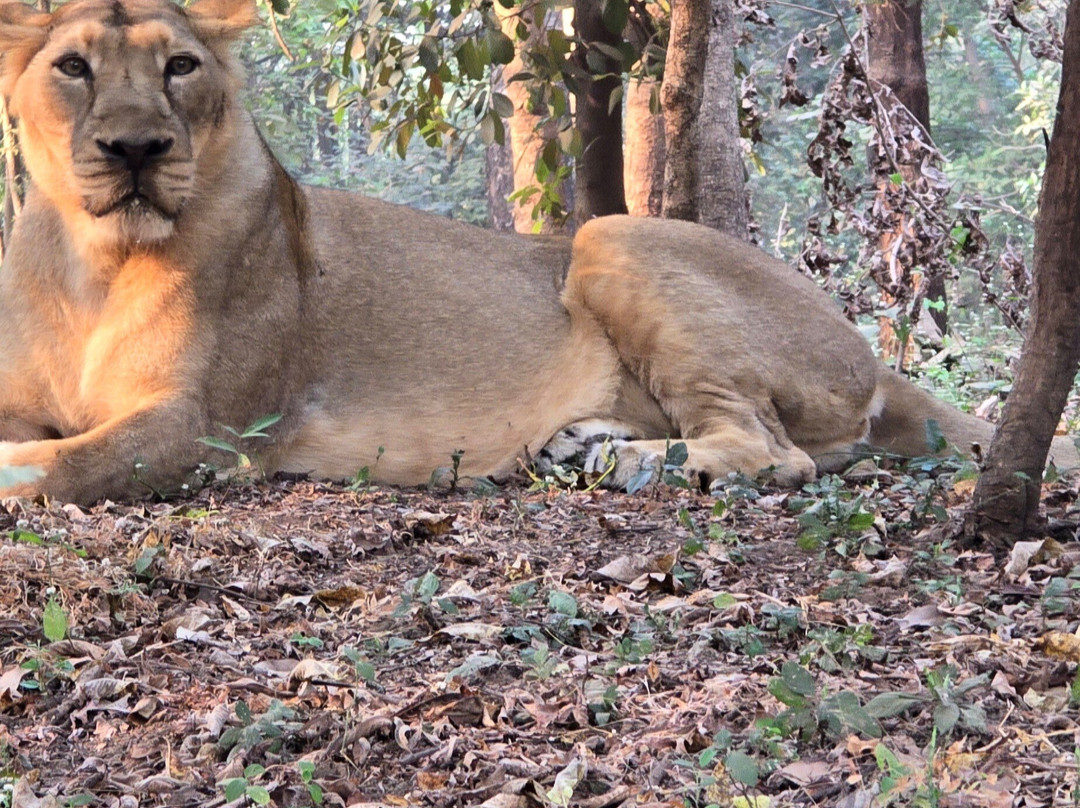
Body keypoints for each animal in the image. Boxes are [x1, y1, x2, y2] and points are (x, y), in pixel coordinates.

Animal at [0, 0, 1073, 504]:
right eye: (74, 67)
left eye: (180, 66)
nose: (136, 149)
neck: (93, 262)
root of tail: (870, 353)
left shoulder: (209, 430)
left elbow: (63, 463)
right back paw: (586, 445)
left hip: (609, 234)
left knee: (777, 454)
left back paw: (637, 464)